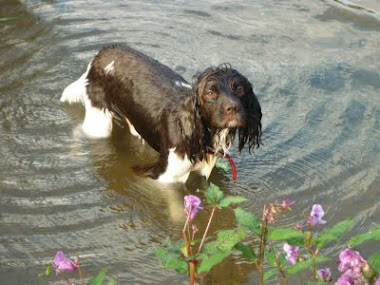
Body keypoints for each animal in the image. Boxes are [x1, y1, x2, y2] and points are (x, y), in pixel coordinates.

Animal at [60, 44, 262, 182]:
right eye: (210, 93)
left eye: (240, 89)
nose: (233, 108)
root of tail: (100, 54)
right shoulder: (164, 176)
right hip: (99, 122)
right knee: (79, 130)